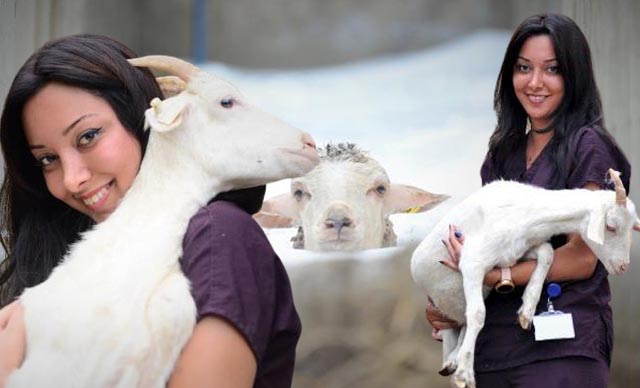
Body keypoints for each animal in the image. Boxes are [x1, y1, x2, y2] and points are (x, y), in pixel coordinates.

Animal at [410, 171, 640, 388]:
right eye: (611, 227)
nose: (623, 266)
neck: (525, 215)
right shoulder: (471, 262)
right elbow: (478, 314)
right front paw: (465, 374)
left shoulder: (515, 254)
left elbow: (547, 252)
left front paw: (527, 310)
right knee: (460, 321)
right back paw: (454, 361)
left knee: (462, 324)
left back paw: (453, 359)